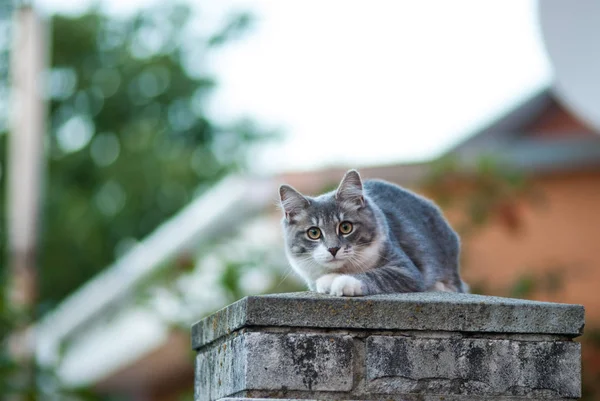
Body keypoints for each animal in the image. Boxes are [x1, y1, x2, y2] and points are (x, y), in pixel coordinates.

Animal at [278, 167, 466, 296]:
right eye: (314, 233)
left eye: (345, 227)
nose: (333, 249)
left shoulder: (406, 270)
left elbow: (374, 275)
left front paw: (340, 282)